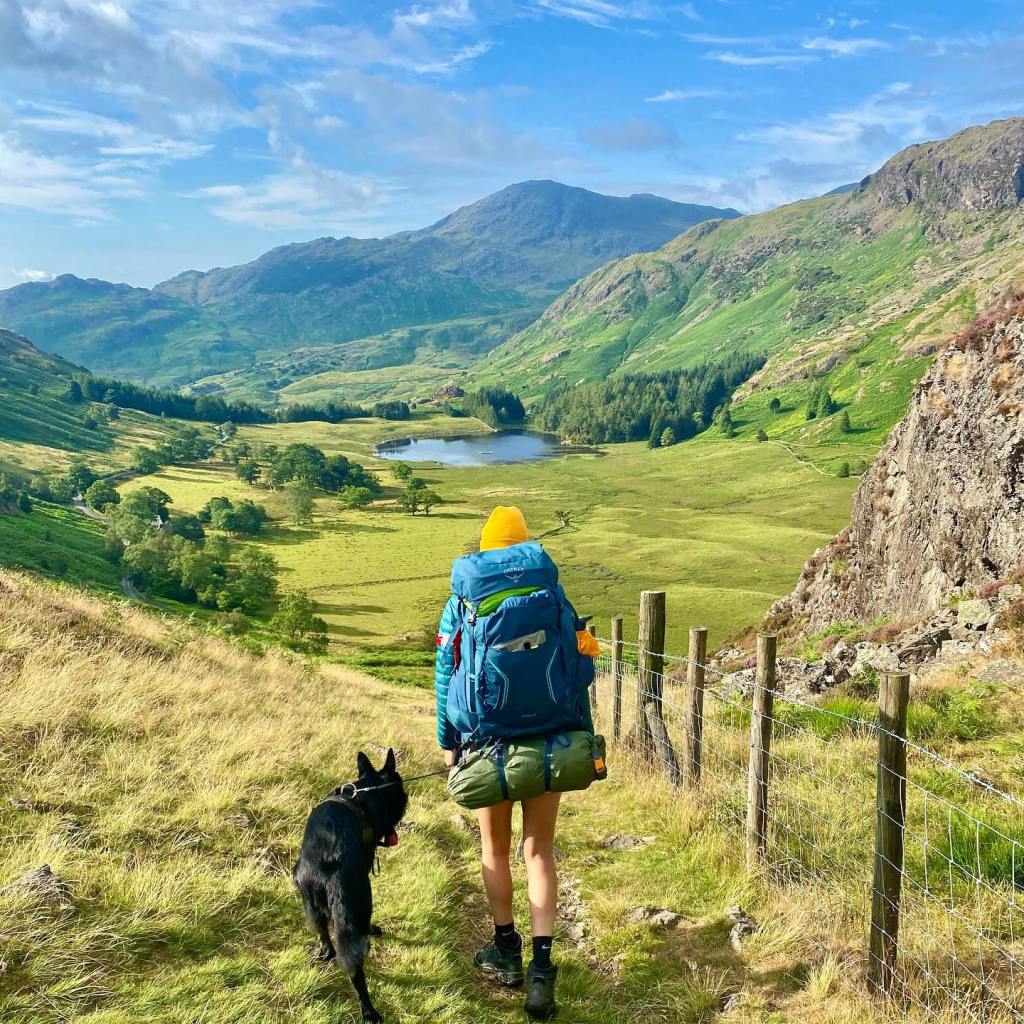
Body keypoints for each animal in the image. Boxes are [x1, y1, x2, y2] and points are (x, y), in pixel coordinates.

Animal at [292, 749, 407, 1019]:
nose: (407, 797)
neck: (366, 792)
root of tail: (331, 865)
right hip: (360, 903)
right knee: (355, 964)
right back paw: (368, 1010)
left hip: (310, 903)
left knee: (327, 940)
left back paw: (324, 953)